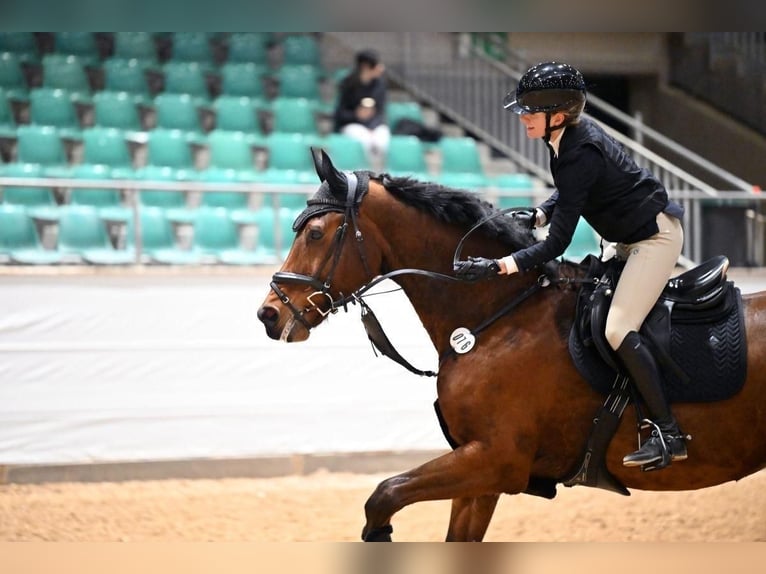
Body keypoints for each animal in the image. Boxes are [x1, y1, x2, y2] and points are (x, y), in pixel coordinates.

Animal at [257, 149, 766, 541]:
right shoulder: (478, 474)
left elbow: (384, 495)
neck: (496, 317)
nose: (269, 314)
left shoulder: (496, 459)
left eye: (316, 233)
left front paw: (379, 533)